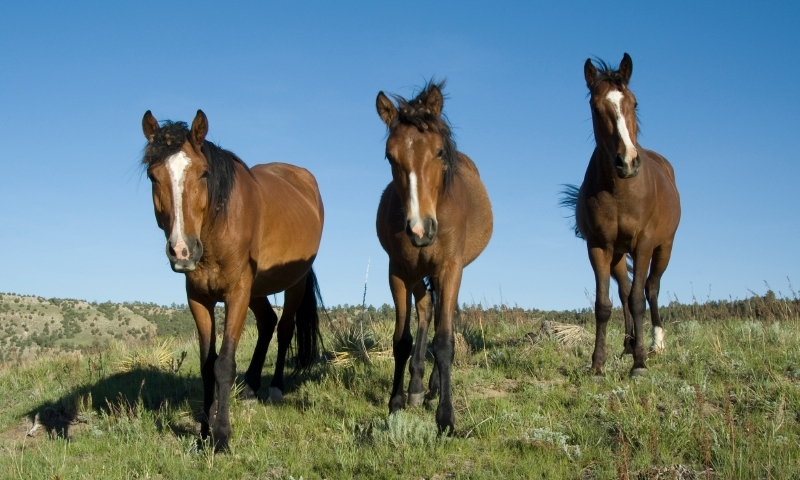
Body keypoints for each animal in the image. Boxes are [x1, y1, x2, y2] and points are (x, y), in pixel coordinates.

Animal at [141, 110, 324, 450]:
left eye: (203, 173)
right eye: (152, 176)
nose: (182, 249)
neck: (215, 229)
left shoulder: (237, 292)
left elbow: (224, 364)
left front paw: (222, 435)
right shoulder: (199, 299)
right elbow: (206, 365)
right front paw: (203, 432)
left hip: (293, 282)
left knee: (284, 328)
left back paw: (275, 388)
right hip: (257, 288)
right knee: (267, 322)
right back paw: (251, 388)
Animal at [375, 81, 493, 434]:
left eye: (439, 152)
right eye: (390, 156)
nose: (419, 228)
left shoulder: (450, 269)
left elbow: (444, 342)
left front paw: (446, 417)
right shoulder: (398, 272)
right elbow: (401, 340)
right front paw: (395, 403)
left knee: (441, 317)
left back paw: (433, 388)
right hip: (417, 274)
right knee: (426, 309)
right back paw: (416, 389)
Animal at [561, 53, 681, 377]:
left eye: (634, 103)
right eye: (595, 106)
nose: (627, 161)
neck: (620, 191)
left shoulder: (644, 244)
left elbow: (640, 299)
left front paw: (640, 364)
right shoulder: (599, 247)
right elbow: (604, 306)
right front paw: (597, 364)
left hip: (663, 247)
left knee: (650, 288)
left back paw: (654, 343)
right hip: (617, 255)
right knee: (626, 292)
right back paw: (629, 344)